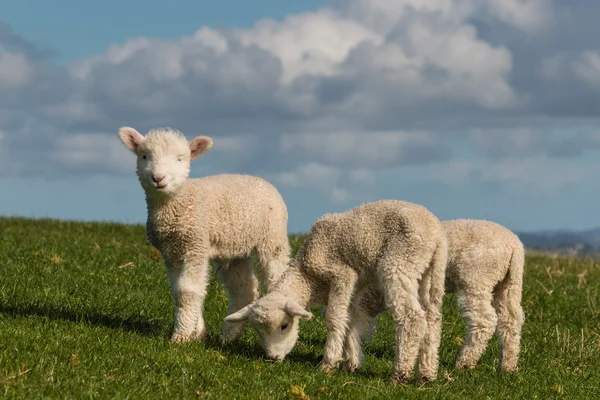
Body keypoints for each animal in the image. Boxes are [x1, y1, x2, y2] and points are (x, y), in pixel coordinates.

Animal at [116, 127, 290, 344]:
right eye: (144, 156)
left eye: (180, 159)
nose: (158, 178)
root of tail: (262, 181)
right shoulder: (172, 253)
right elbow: (182, 290)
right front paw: (196, 332)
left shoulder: (195, 246)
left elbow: (187, 290)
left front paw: (181, 336)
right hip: (233, 248)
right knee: (244, 289)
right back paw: (228, 336)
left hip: (272, 236)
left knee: (277, 276)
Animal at [223, 200, 448, 384]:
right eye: (258, 331)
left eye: (284, 326)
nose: (272, 358)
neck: (307, 277)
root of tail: (436, 234)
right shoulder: (355, 285)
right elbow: (349, 319)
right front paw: (353, 362)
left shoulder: (342, 274)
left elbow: (333, 318)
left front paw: (329, 363)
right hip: (430, 272)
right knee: (433, 319)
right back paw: (426, 374)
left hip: (400, 262)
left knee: (412, 318)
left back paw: (399, 374)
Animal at [342, 219, 524, 372]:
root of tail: (514, 246)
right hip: (508, 284)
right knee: (511, 321)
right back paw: (508, 366)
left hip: (477, 277)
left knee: (484, 320)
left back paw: (464, 363)